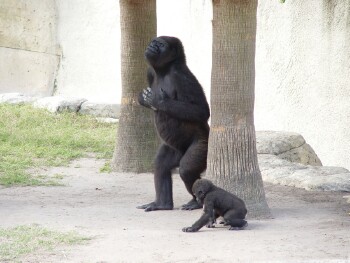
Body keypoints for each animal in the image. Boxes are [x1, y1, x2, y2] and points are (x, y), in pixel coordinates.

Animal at [137, 36, 209, 212]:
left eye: (162, 44)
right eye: (154, 41)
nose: (153, 45)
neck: (165, 69)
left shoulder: (181, 77)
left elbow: (201, 110)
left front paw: (159, 101)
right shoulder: (150, 72)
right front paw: (143, 100)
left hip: (205, 144)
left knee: (187, 170)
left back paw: (197, 202)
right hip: (176, 149)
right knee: (161, 165)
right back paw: (162, 204)